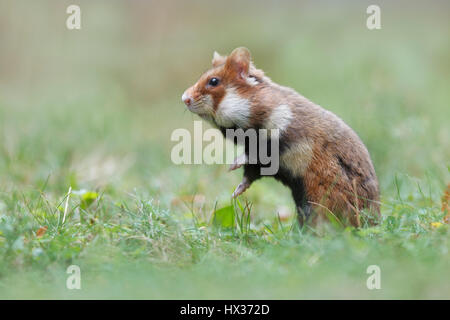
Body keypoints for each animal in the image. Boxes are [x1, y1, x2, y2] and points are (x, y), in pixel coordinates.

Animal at [181, 48, 378, 228]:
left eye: (213, 81)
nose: (184, 98)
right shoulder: (264, 165)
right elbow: (249, 175)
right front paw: (235, 193)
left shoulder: (284, 140)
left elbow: (256, 154)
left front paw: (233, 164)